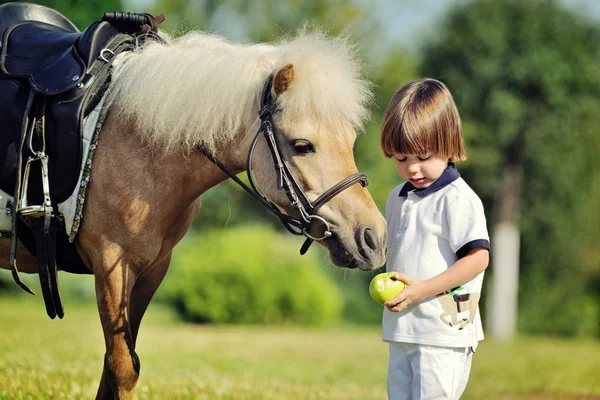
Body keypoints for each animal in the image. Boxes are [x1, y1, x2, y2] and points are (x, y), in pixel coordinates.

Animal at [0, 16, 384, 400]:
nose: (374, 238)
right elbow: (123, 368)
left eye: (350, 140)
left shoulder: (151, 269)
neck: (139, 145)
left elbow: (112, 368)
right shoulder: (111, 264)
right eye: (302, 145)